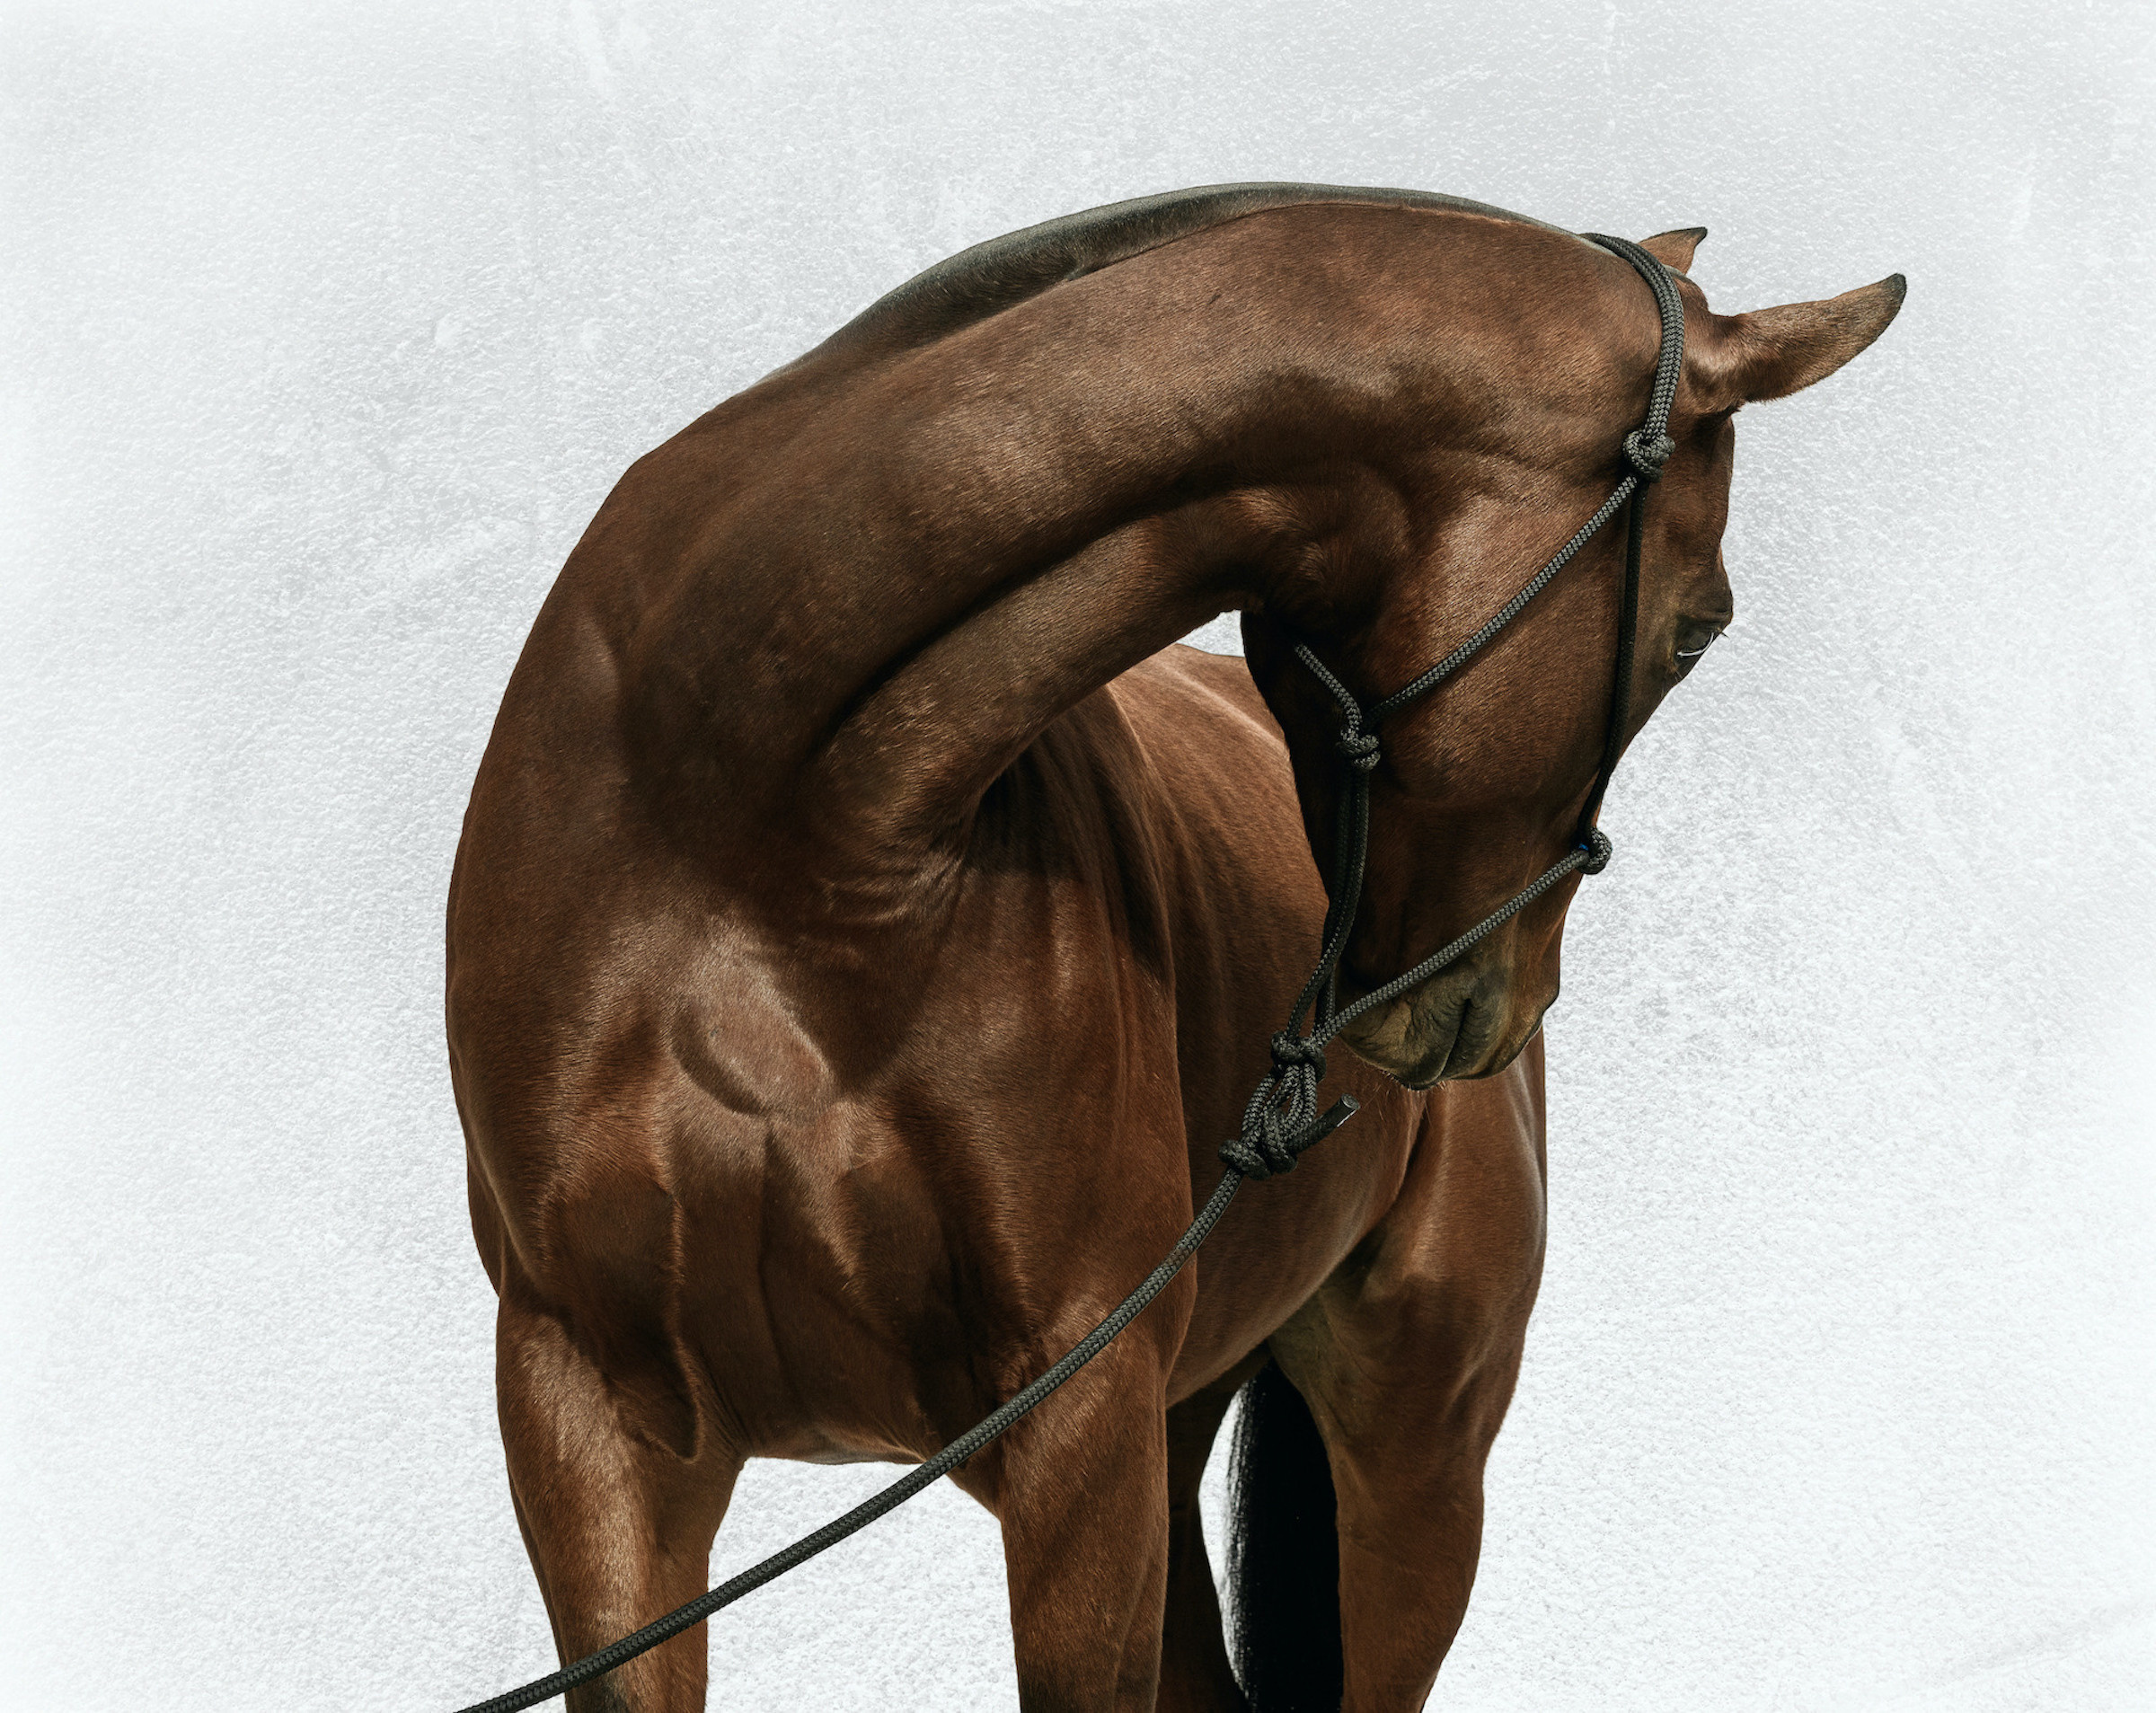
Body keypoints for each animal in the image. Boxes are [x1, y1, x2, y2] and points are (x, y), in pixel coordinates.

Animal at [445, 183, 1902, 1712]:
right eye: (1697, 630)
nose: (1487, 1009)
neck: (744, 815)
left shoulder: (1080, 1414)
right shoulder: (590, 1421)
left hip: (1414, 1442)